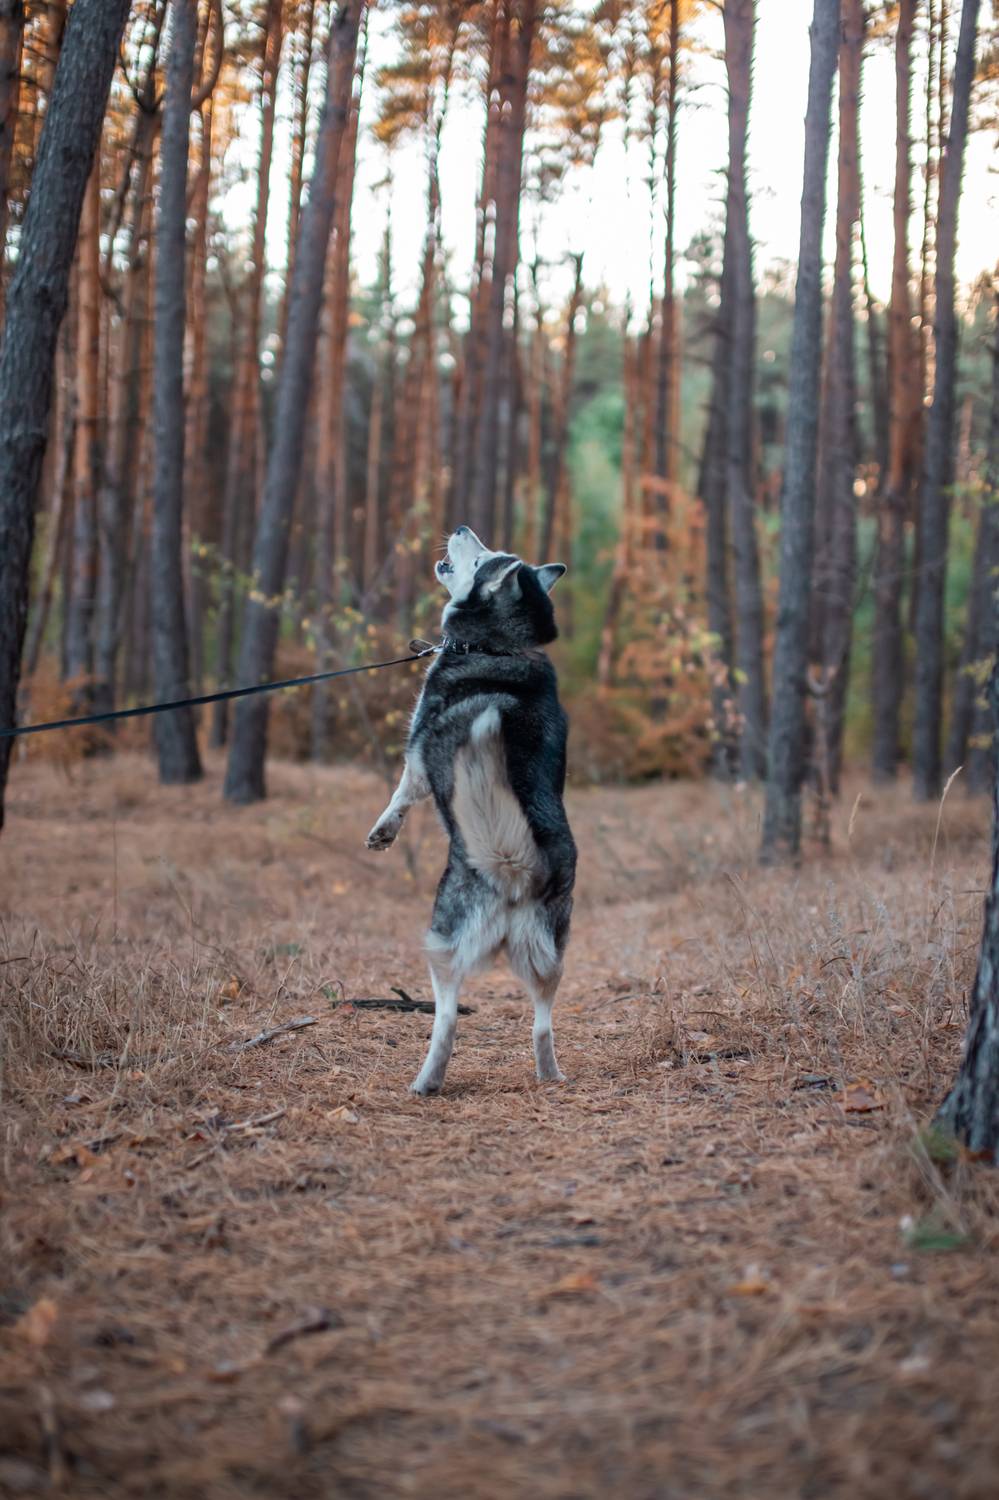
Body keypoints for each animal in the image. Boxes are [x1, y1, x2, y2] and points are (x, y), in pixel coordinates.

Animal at [365, 526, 577, 1094]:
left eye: (482, 558)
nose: (461, 530)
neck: (498, 644)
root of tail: (513, 866)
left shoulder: (418, 759)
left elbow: (400, 795)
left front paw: (384, 832)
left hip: (440, 939)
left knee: (447, 1017)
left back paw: (426, 1080)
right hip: (548, 956)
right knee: (542, 1023)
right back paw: (548, 1072)